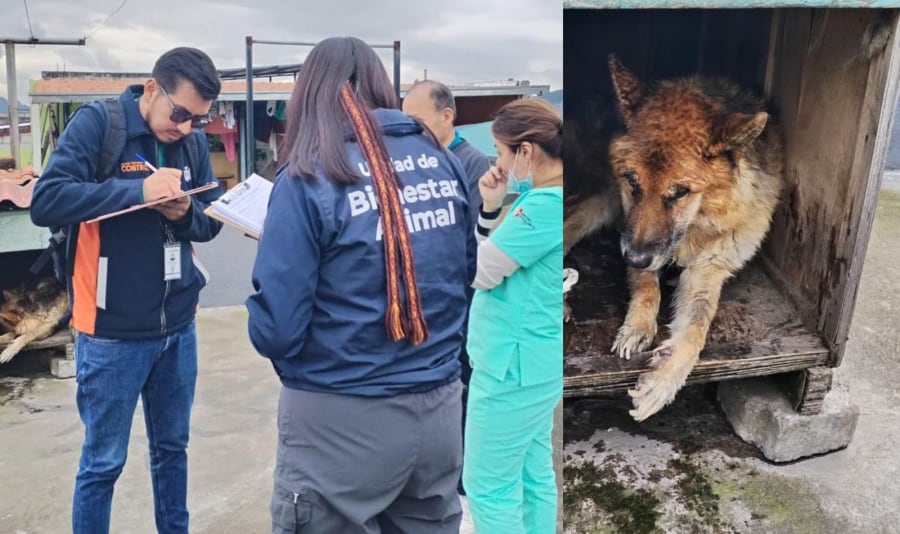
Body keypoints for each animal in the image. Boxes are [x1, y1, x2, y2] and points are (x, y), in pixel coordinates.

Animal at [568, 55, 784, 422]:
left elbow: (696, 328)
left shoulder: (706, 270)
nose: (634, 258)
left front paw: (663, 380)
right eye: (632, 181)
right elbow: (646, 287)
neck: (696, 224)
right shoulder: (631, 234)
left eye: (680, 192)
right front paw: (638, 326)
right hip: (596, 204)